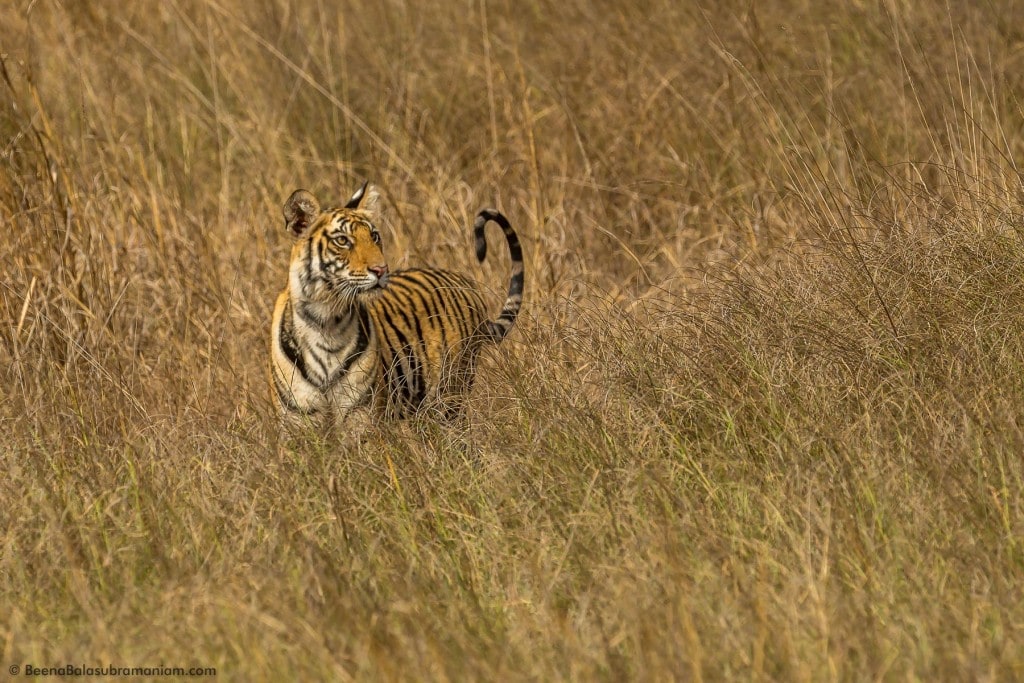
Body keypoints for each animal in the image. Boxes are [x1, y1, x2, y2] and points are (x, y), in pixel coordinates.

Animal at [268, 181, 524, 428]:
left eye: (374, 236)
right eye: (342, 241)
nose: (381, 269)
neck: (326, 318)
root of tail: (465, 282)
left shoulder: (359, 414)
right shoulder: (297, 421)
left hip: (449, 397)